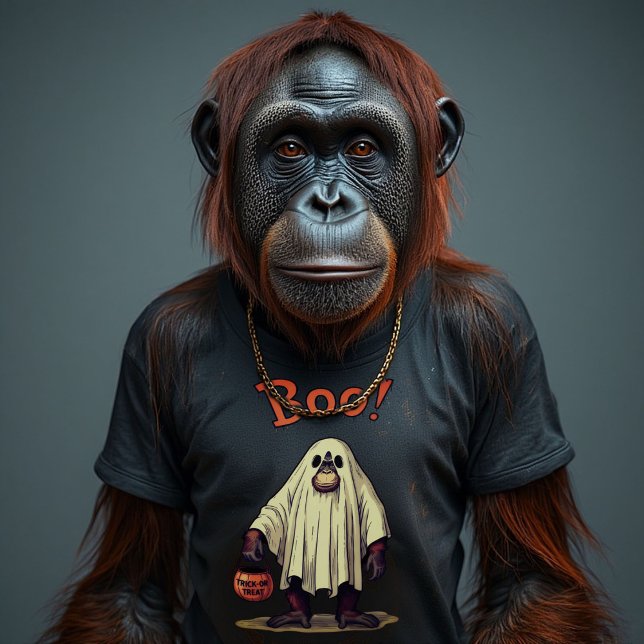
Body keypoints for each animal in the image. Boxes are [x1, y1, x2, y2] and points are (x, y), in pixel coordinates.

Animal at [39, 12, 616, 643]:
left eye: (362, 147)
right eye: (290, 148)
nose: (328, 200)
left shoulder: (504, 330)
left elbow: (528, 582)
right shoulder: (154, 339)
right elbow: (132, 589)